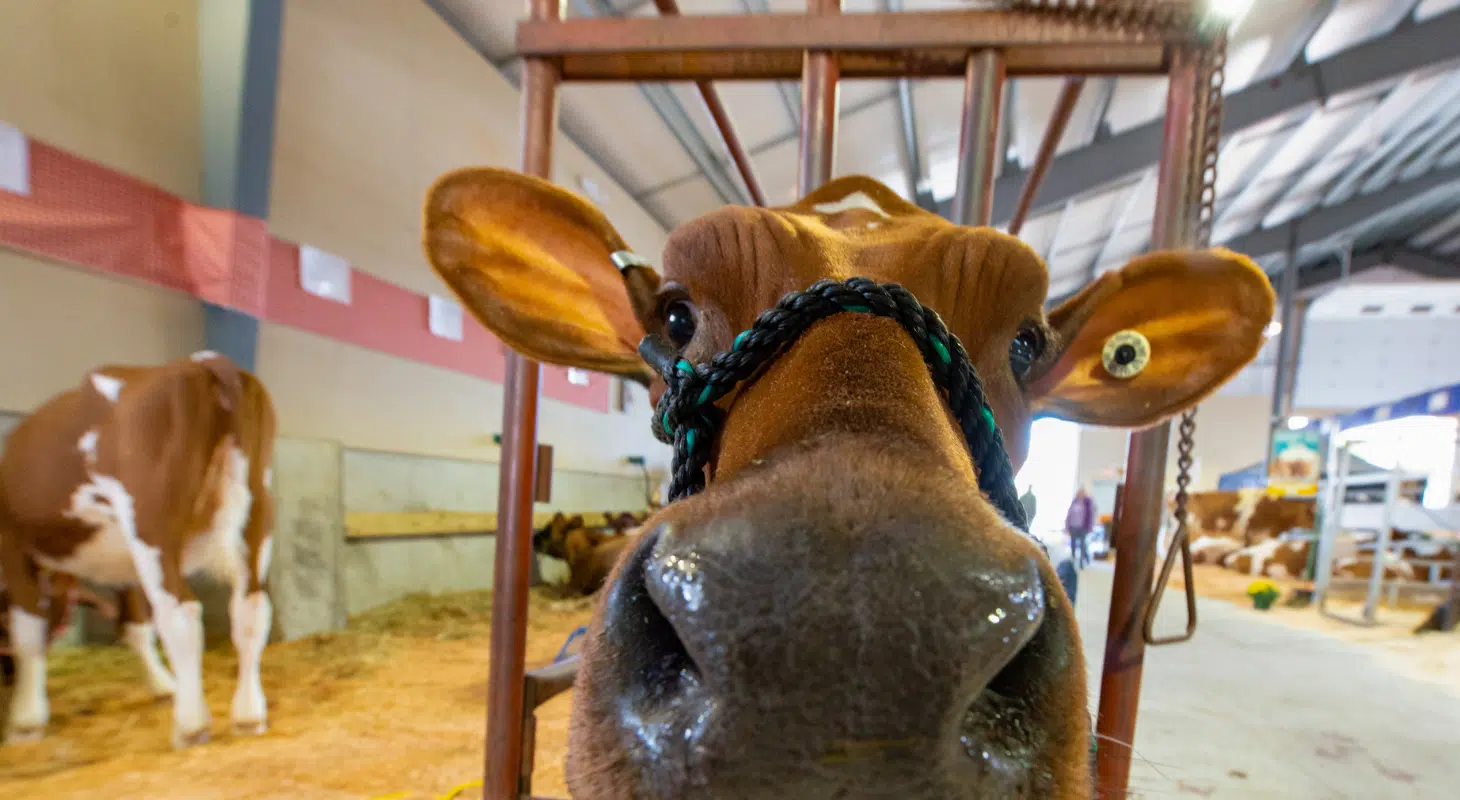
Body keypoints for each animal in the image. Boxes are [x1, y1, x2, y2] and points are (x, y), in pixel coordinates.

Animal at [0, 352, 276, 748]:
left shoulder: (13, 546)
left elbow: (27, 631)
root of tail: (202, 362)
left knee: (181, 613)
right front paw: (163, 685)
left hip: (149, 523)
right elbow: (135, 625)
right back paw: (249, 715)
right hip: (258, 515)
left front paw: (25, 720)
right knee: (250, 608)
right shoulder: (123, 564)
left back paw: (191, 725)